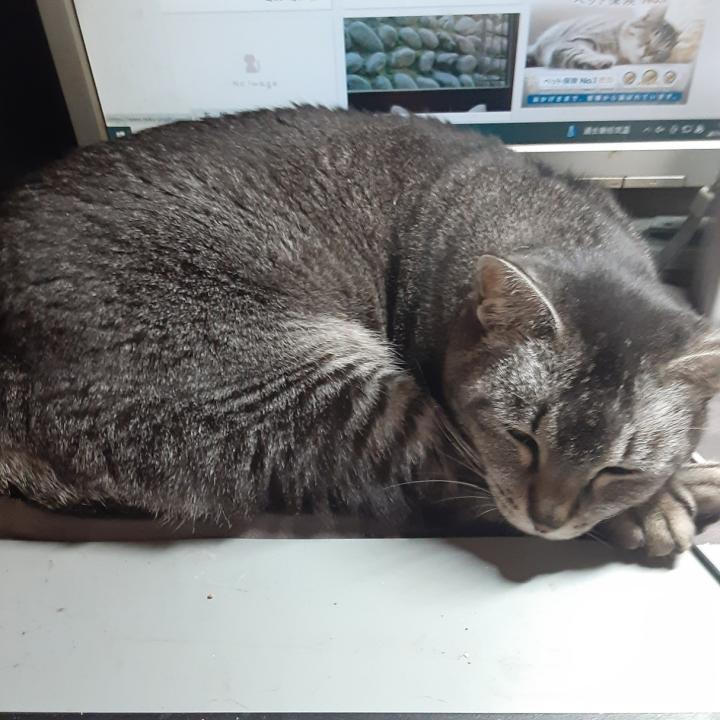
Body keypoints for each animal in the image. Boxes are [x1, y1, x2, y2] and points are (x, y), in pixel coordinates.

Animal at [1, 107, 719, 556]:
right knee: (443, 490)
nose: (549, 520)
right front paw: (657, 499)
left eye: (618, 465)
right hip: (324, 384)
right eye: (522, 439)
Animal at [526, 7, 679, 70]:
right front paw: (598, 60)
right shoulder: (571, 41)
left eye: (658, 52)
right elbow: (575, 52)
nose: (648, 53)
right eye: (649, 40)